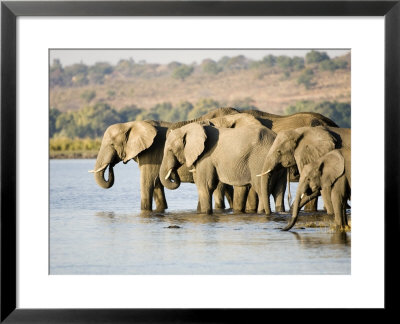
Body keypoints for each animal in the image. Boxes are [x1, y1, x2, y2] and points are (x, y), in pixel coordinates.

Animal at [88, 107, 238, 211]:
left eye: (111, 145)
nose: (111, 166)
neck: (131, 124)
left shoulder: (151, 152)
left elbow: (147, 183)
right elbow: (157, 185)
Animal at [159, 117, 288, 214]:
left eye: (170, 150)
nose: (173, 171)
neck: (190, 128)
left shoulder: (207, 156)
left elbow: (205, 185)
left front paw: (205, 213)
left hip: (259, 161)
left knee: (261, 189)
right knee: (279, 191)